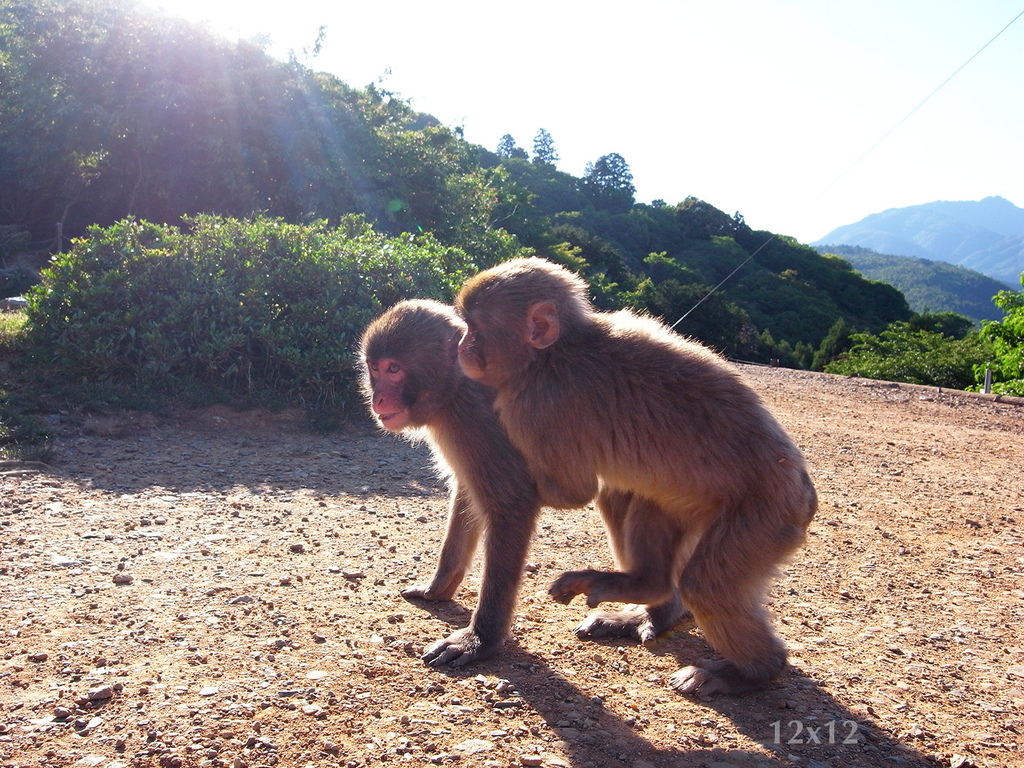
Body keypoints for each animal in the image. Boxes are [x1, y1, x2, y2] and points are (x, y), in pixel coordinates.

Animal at [360, 301, 544, 667]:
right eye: (375, 368)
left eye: (394, 369)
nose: (377, 399)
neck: (453, 387)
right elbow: (468, 493)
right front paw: (439, 587)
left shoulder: (473, 418)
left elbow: (511, 502)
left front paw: (481, 639)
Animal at [456, 259, 815, 696]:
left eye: (475, 329)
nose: (461, 346)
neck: (556, 353)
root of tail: (804, 495)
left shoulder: (536, 405)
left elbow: (572, 492)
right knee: (634, 500)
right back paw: (650, 590)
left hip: (769, 517)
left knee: (707, 586)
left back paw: (749, 671)